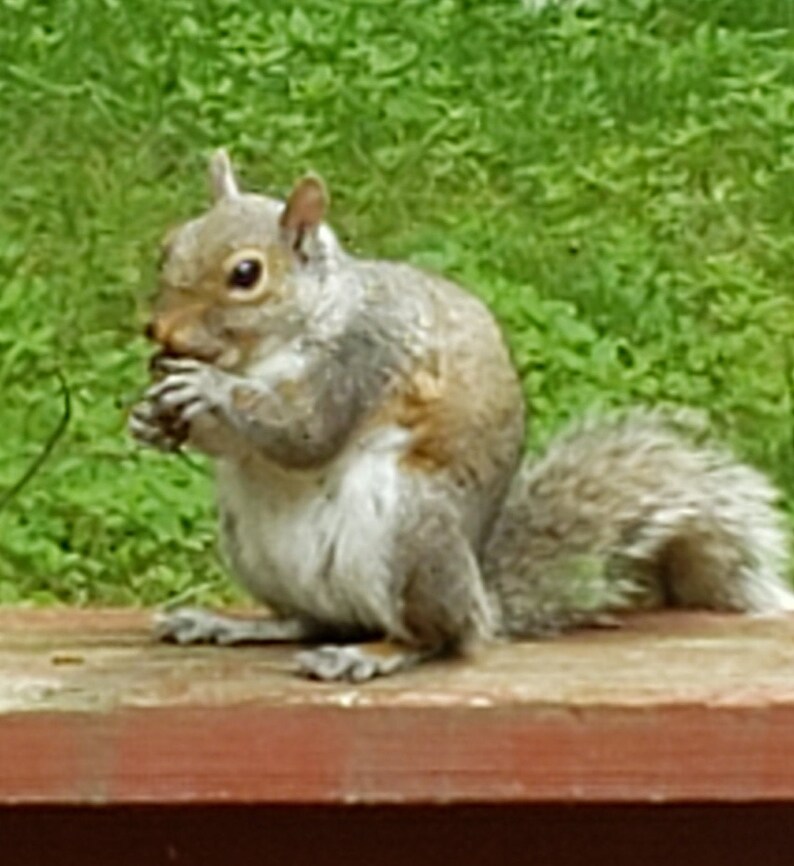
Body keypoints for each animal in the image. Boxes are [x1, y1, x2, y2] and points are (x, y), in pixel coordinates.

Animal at [129, 149, 794, 682]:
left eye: (246, 274)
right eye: (167, 245)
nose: (158, 330)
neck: (286, 334)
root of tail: (481, 603)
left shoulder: (362, 360)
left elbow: (305, 434)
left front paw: (211, 387)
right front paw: (149, 417)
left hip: (411, 533)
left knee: (434, 637)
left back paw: (371, 654)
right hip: (251, 545)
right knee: (311, 620)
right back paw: (232, 624)